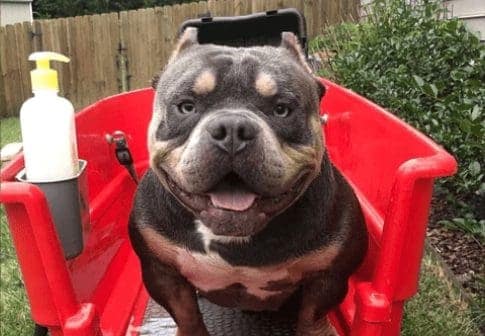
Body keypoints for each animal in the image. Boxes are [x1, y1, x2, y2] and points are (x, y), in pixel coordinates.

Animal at [129, 26, 366, 336]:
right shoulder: (161, 271)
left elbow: (311, 316)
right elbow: (186, 313)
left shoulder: (330, 276)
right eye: (186, 106)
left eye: (281, 109)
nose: (232, 128)